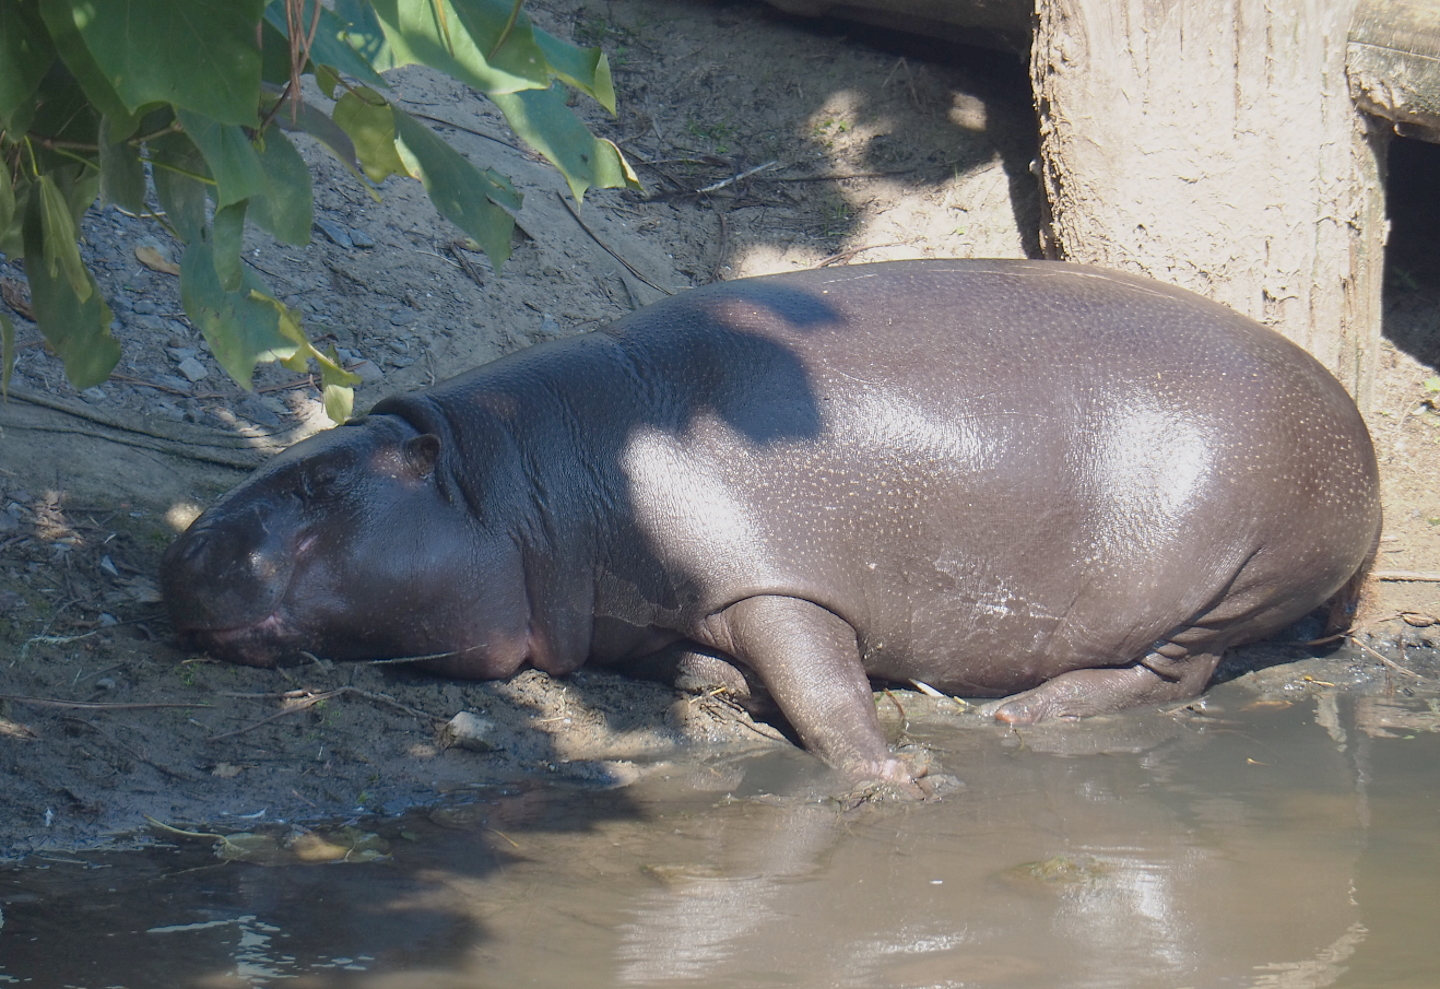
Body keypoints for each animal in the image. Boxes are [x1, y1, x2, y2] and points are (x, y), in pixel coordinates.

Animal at [161, 260, 1381, 785]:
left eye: (321, 487)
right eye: (296, 456)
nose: (184, 544)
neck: (510, 480)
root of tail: (1360, 431)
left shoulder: (778, 582)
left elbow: (825, 689)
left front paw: (897, 775)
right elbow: (722, 670)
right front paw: (727, 688)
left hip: (1237, 573)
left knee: (1173, 672)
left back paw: (1022, 717)